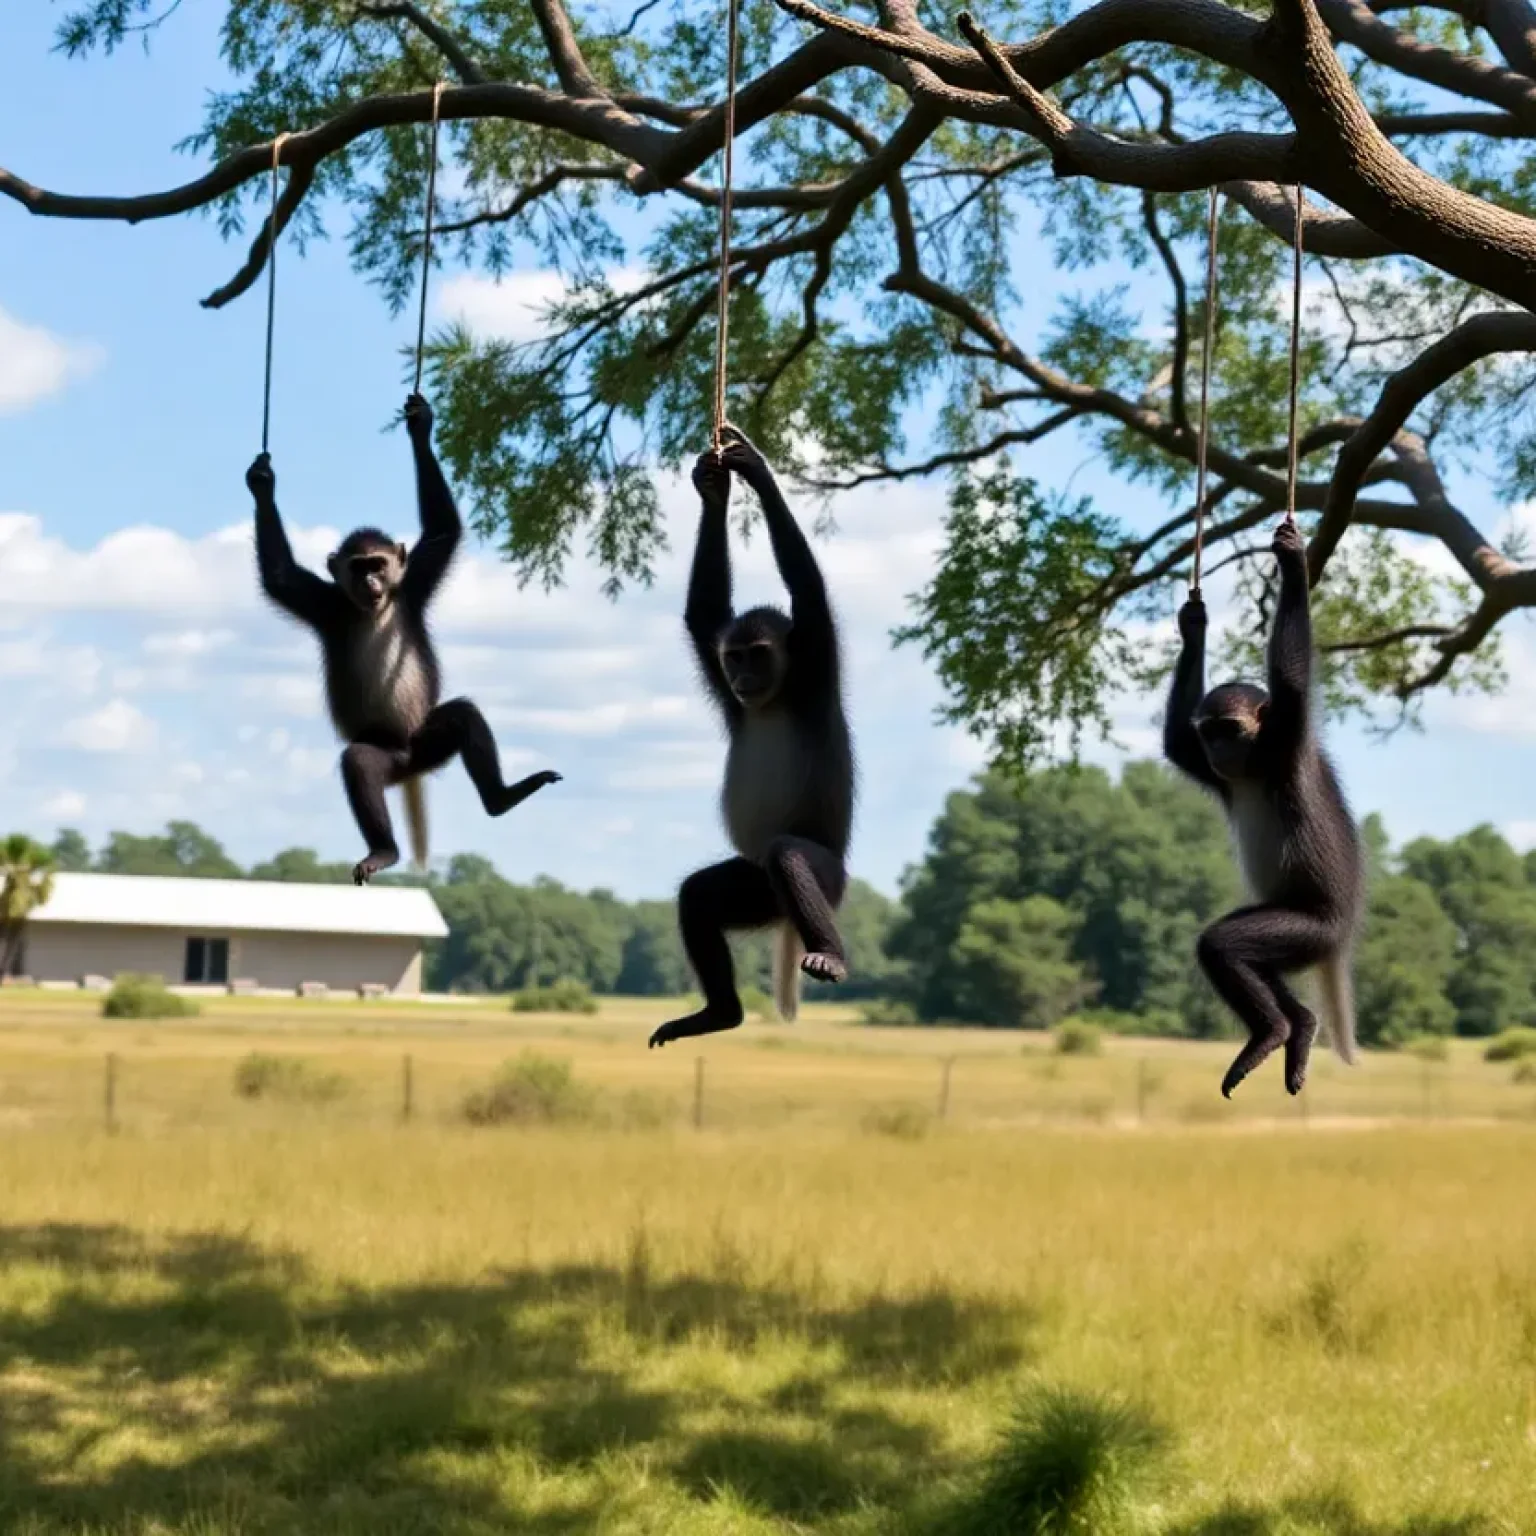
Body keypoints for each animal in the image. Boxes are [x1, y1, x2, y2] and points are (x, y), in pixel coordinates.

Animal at [248, 390, 562, 884]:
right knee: (361, 762)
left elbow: (443, 531)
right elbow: (280, 576)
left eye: (378, 564)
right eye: (359, 567)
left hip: (427, 744)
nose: (373, 582)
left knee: (463, 716)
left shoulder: (413, 584)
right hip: (392, 755)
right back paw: (384, 848)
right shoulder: (325, 603)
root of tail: (407, 769)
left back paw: (500, 797)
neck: (374, 607)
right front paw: (263, 485)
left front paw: (420, 426)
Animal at [645, 427, 854, 1050]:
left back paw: (829, 952)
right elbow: (702, 613)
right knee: (700, 896)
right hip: (753, 888)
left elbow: (808, 586)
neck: (777, 694)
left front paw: (757, 472)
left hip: (828, 880)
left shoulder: (817, 656)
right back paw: (720, 1013)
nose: (742, 676)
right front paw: (713, 489)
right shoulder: (718, 665)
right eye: (734, 657)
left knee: (789, 854)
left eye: (758, 654)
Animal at [1155, 522, 1363, 1099]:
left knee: (1223, 944)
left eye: (1229, 729)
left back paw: (1271, 1031)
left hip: (1308, 928)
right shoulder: (1210, 767)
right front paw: (1193, 626)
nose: (1220, 750)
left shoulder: (1284, 737)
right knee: (1246, 956)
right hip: (1293, 933)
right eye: (1211, 733)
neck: (1251, 765)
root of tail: (1342, 936)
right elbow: (1176, 743)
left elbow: (1290, 675)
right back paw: (1298, 1026)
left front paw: (1292, 562)